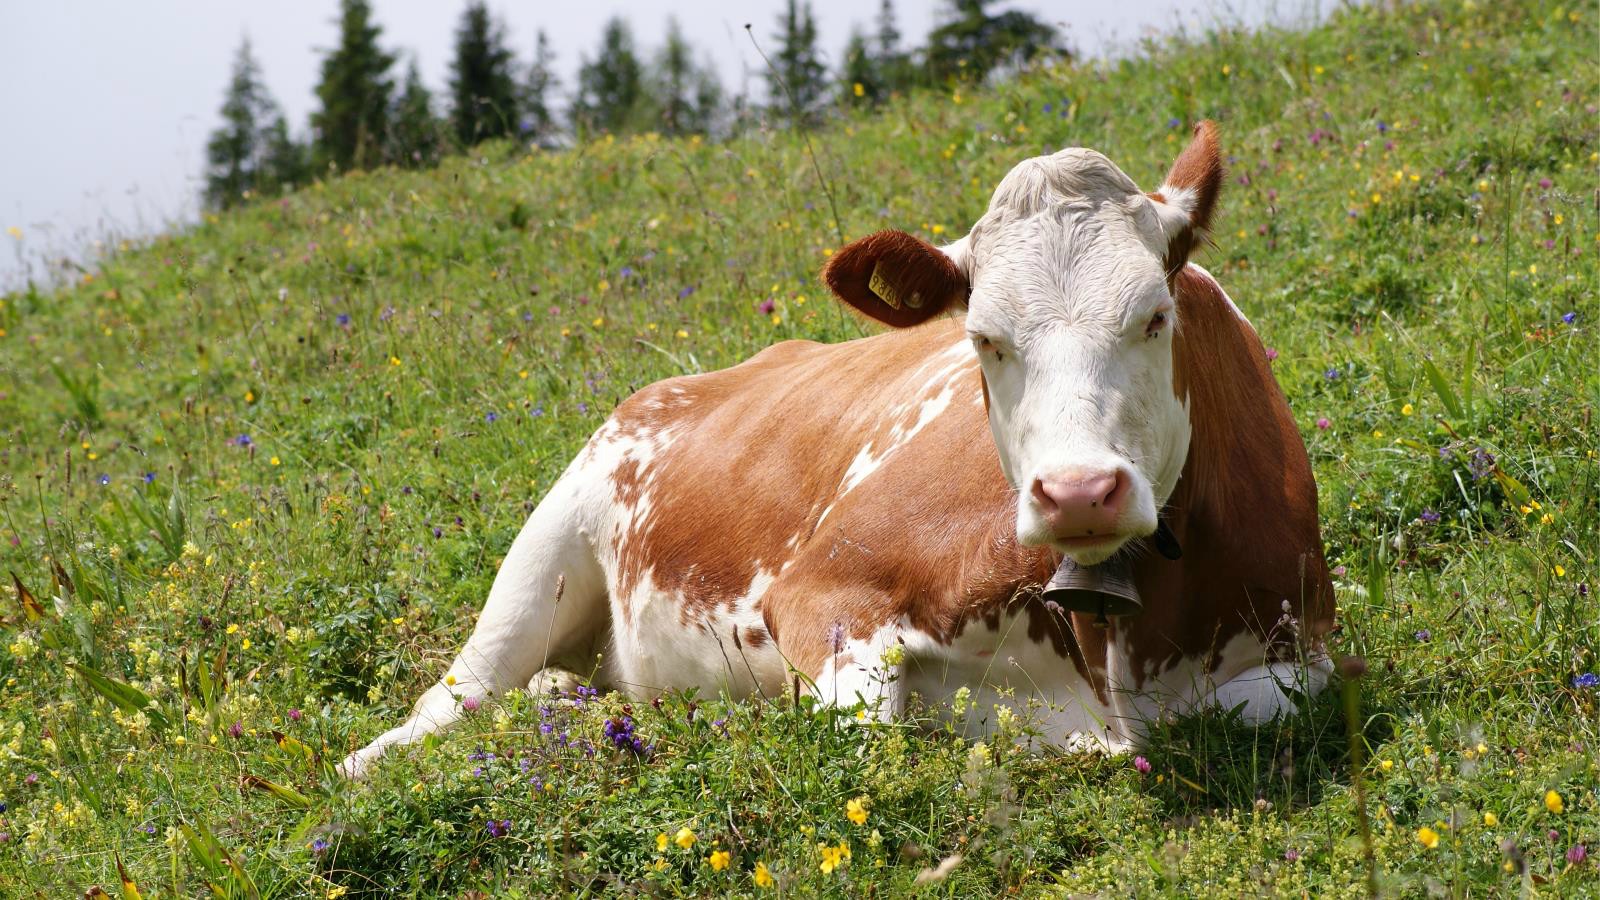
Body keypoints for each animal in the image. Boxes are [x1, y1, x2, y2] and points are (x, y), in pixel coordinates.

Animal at [340, 120, 1337, 778]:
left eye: (1154, 316)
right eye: (983, 339)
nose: (1079, 492)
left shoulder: (1306, 650)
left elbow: (1265, 705)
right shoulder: (823, 592)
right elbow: (869, 733)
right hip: (549, 546)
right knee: (455, 698)